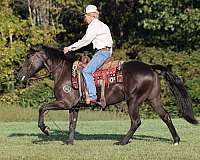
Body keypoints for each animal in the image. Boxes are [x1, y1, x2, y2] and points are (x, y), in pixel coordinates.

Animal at [16, 44, 197, 146]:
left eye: (28, 57)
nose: (19, 76)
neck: (63, 71)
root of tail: (150, 67)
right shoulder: (74, 107)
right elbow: (72, 124)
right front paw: (69, 142)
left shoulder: (64, 103)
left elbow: (42, 108)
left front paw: (45, 130)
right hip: (153, 99)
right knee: (165, 116)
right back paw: (176, 140)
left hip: (133, 101)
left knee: (136, 121)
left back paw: (122, 142)